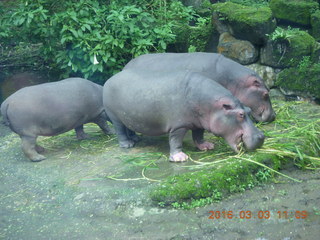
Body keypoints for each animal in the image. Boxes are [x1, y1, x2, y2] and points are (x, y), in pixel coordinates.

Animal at [103, 70, 264, 162]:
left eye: (249, 110)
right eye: (241, 114)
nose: (261, 136)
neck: (212, 106)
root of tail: (110, 79)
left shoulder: (199, 122)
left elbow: (198, 135)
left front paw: (207, 146)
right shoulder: (178, 126)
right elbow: (175, 141)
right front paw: (179, 158)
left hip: (129, 116)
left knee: (129, 127)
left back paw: (136, 139)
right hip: (114, 116)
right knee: (120, 130)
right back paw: (127, 144)